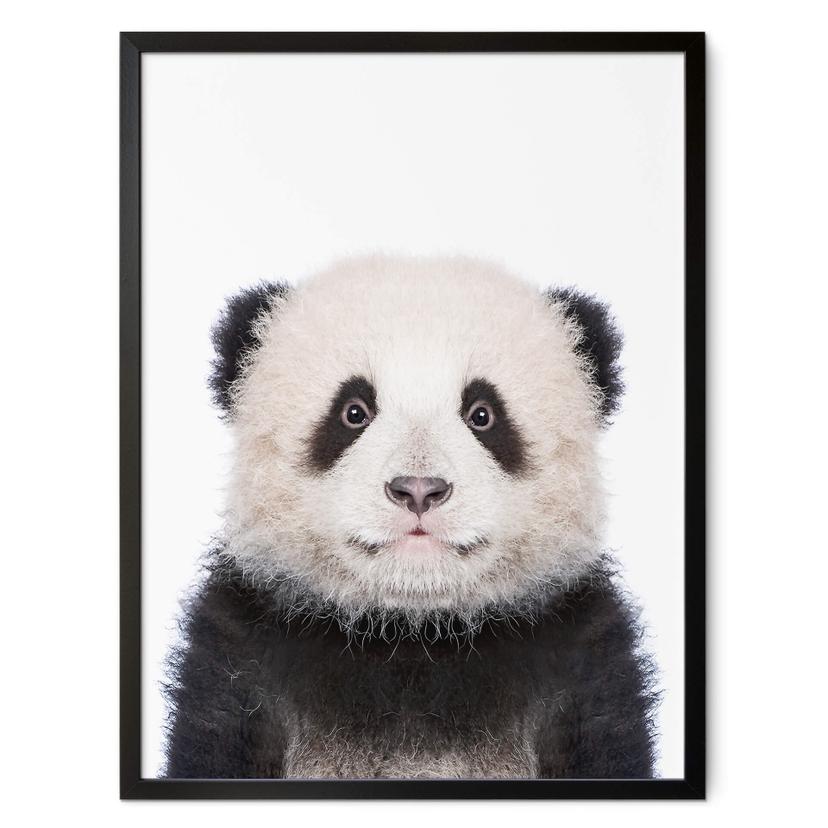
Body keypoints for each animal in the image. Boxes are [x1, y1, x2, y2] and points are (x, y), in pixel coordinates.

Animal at [164, 255, 657, 780]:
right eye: (353, 412)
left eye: (483, 414)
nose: (419, 489)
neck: (412, 633)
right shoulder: (241, 657)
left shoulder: (582, 660)